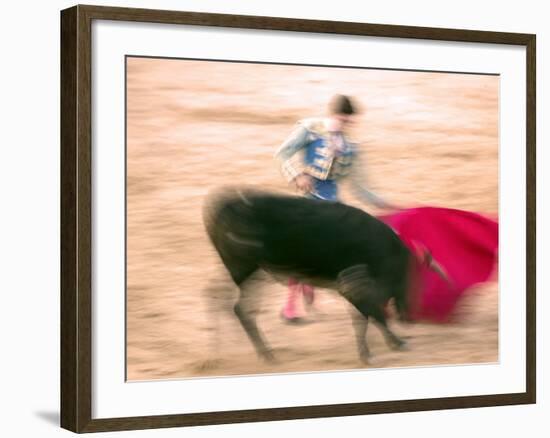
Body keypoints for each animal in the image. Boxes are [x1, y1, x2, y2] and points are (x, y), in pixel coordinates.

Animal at [205, 188, 412, 362]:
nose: (406, 317)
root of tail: (223, 207)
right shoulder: (353, 285)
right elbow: (372, 314)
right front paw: (383, 348)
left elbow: (366, 315)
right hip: (244, 270)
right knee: (233, 305)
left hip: (251, 272)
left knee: (221, 298)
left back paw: (236, 352)